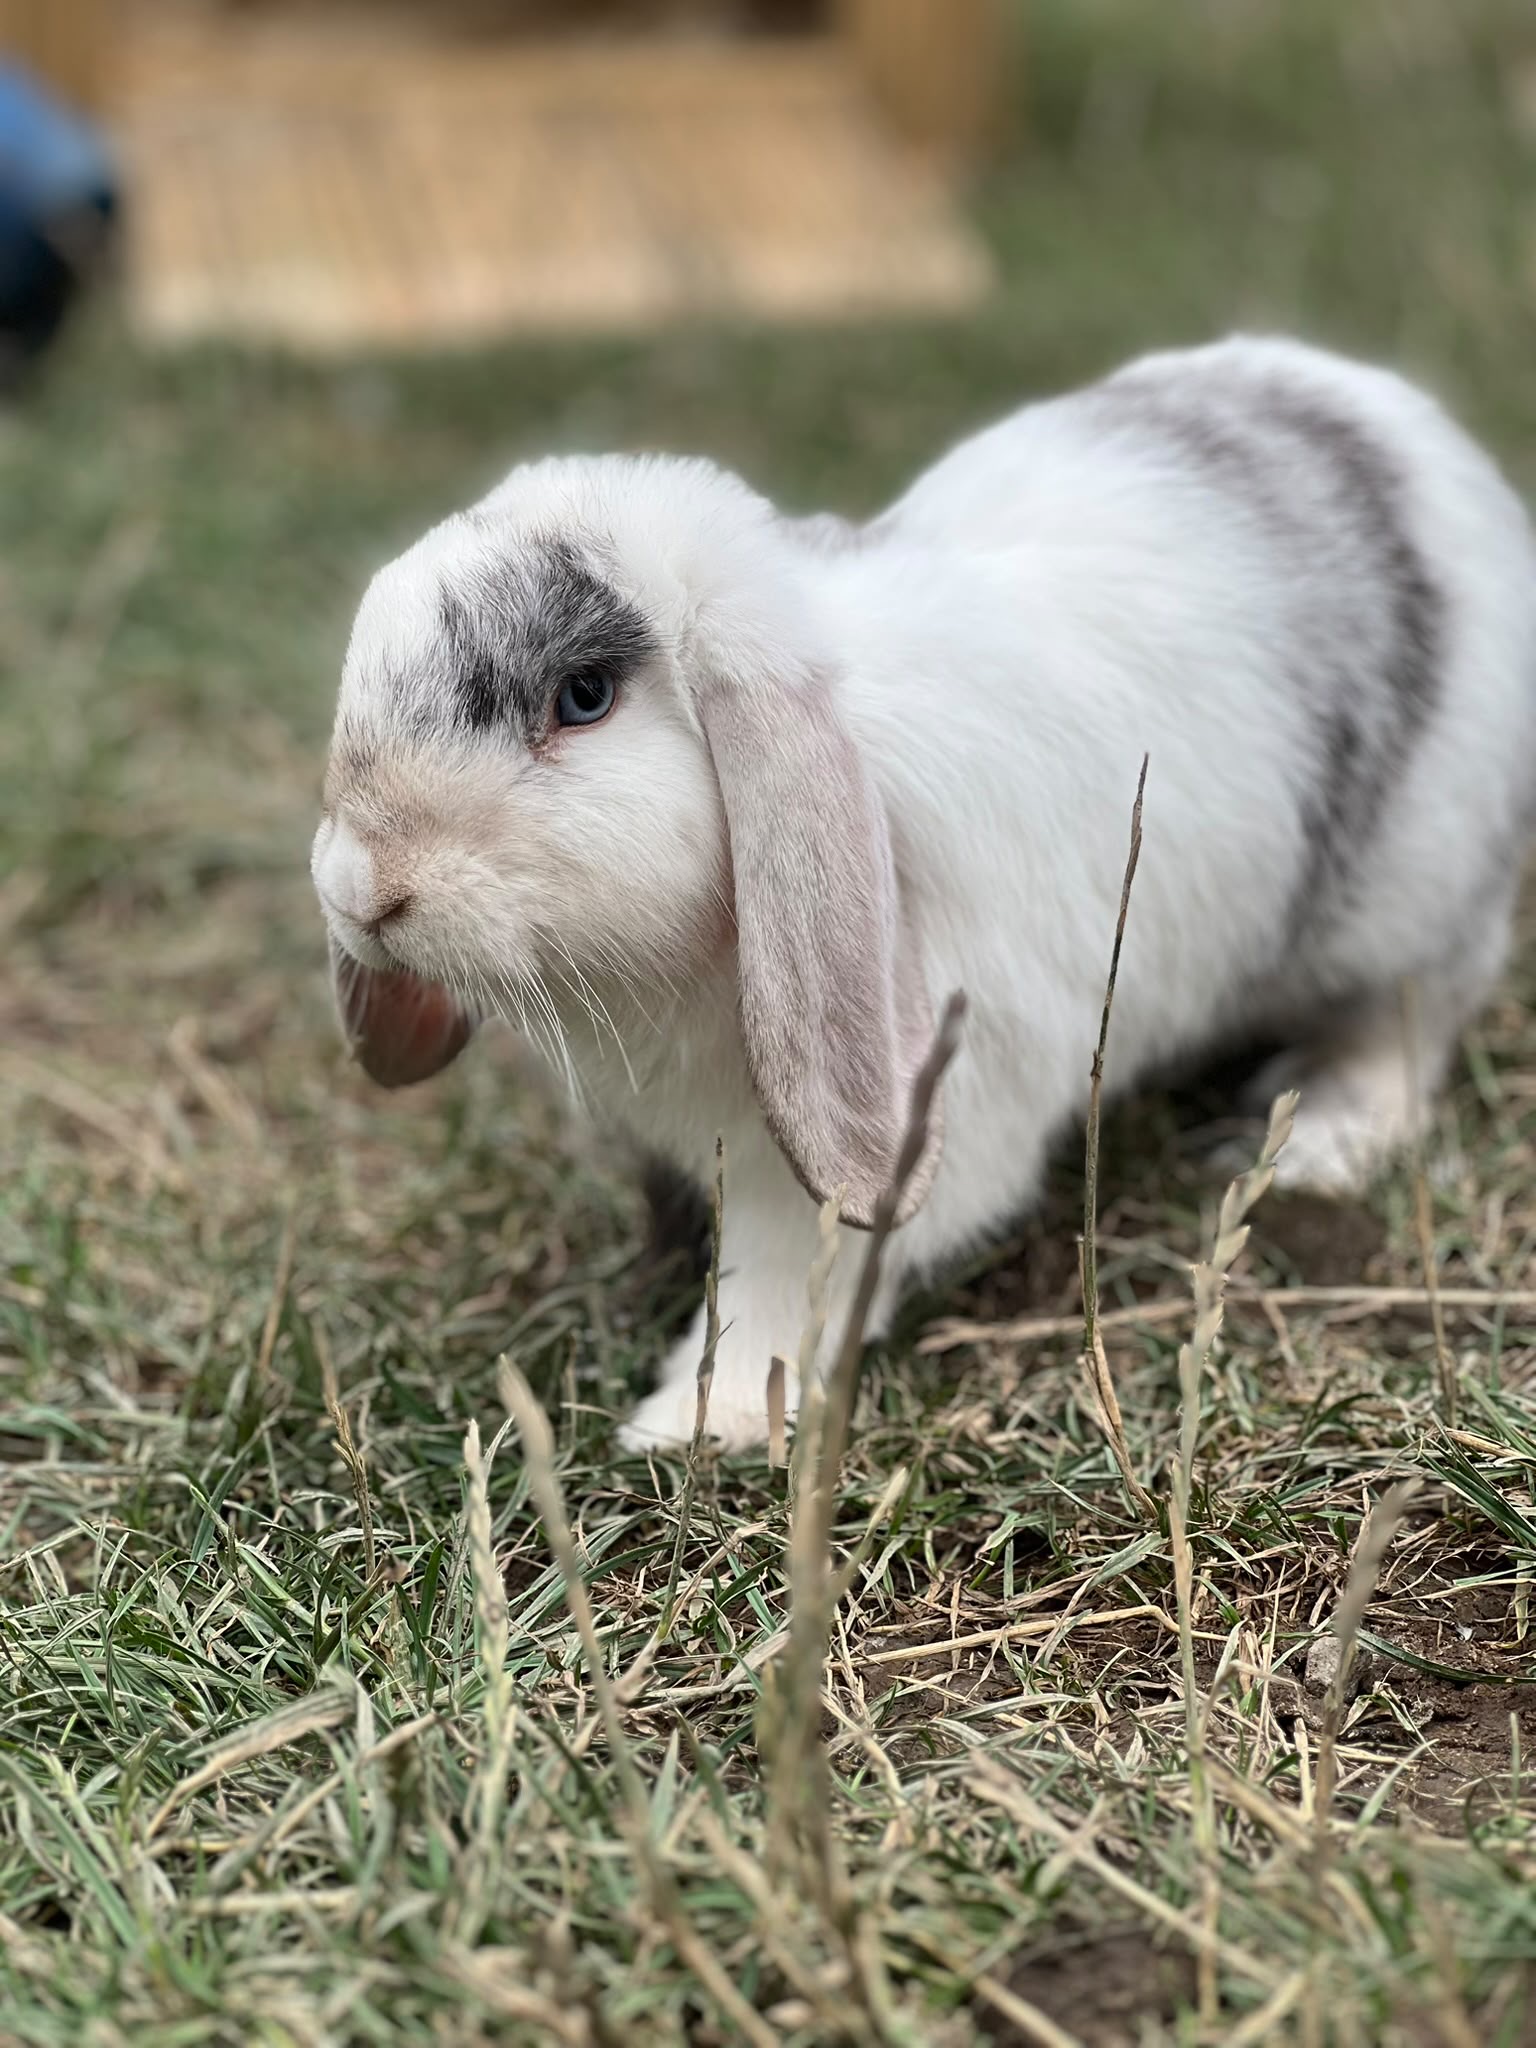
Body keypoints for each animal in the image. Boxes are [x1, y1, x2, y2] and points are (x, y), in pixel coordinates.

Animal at [311, 335, 1536, 1452]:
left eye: (583, 695)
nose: (360, 887)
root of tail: (1427, 444)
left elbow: (788, 1273)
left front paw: (698, 1419)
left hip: (1411, 912)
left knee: (1405, 1029)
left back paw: (1318, 1141)